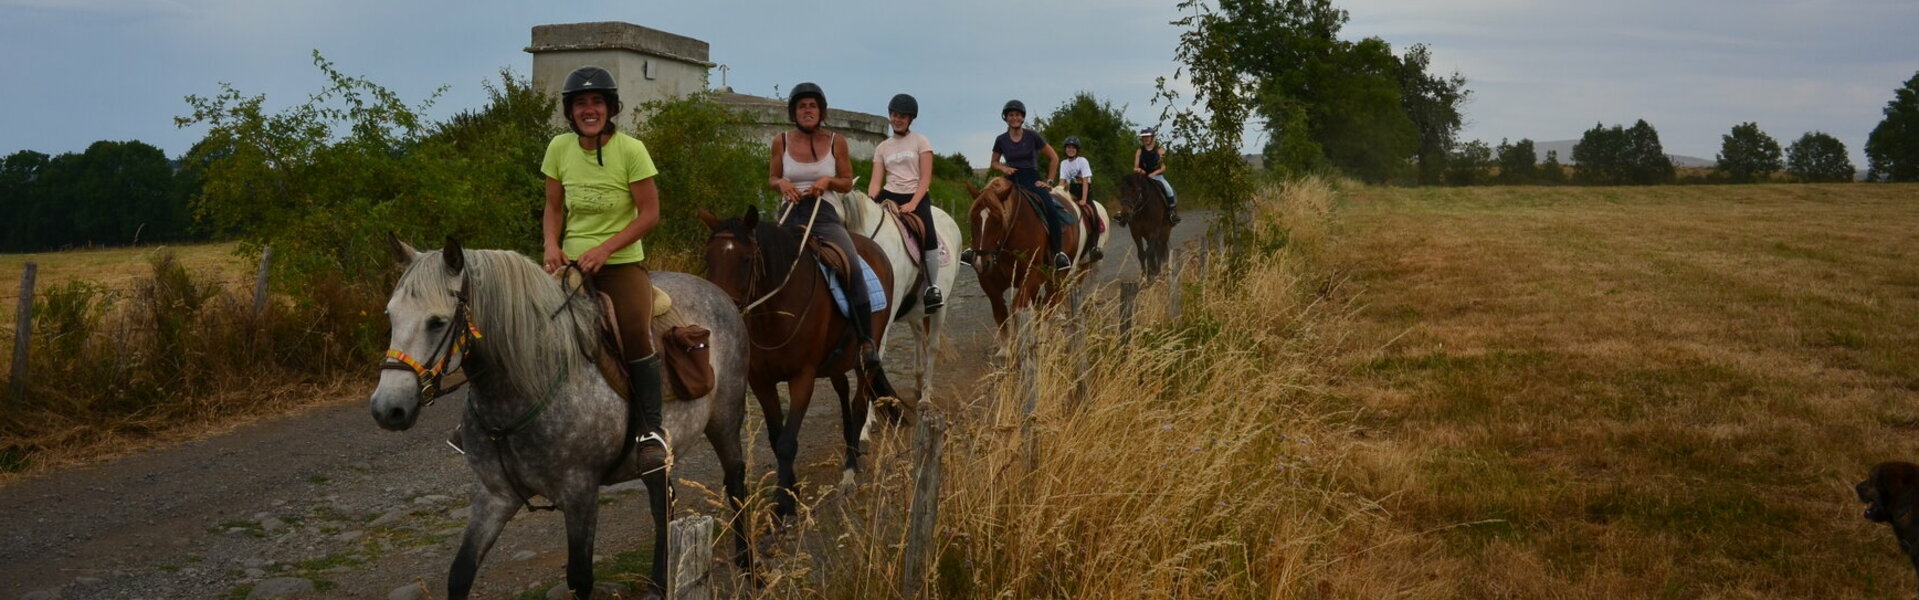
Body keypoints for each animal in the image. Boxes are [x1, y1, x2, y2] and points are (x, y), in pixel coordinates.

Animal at [366, 238, 748, 598]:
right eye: (390, 315)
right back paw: (658, 585)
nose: (387, 409)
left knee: (735, 484)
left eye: (437, 322)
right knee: (662, 504)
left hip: (725, 420)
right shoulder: (494, 495)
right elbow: (460, 574)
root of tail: (717, 291)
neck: (521, 388)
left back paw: (747, 566)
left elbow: (580, 579)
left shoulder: (580, 494)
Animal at [694, 207, 894, 517]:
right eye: (708, 258)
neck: (776, 312)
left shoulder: (802, 378)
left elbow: (788, 442)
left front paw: (784, 504)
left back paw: (849, 471)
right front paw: (792, 488)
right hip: (836, 362)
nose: (721, 309)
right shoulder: (761, 381)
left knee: (859, 405)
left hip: (865, 361)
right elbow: (776, 438)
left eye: (746, 259)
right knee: (842, 392)